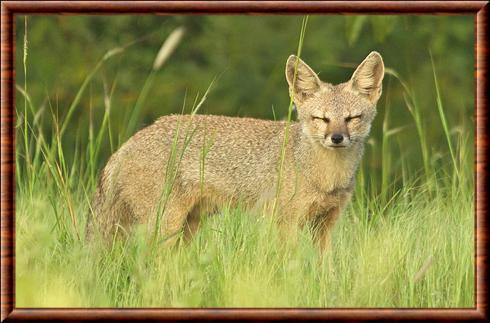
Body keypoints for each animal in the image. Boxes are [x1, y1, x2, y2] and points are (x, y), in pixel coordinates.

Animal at [89, 52, 386, 252]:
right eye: (322, 119)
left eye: (352, 118)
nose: (336, 138)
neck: (326, 178)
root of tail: (127, 143)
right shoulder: (286, 223)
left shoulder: (325, 226)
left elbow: (326, 272)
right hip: (165, 227)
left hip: (187, 229)